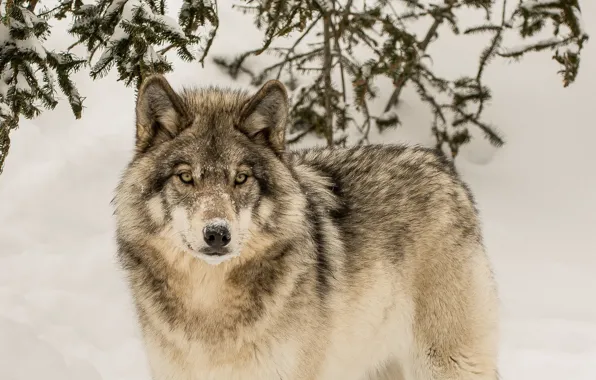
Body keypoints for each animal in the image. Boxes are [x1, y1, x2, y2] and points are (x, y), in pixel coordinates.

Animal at [110, 75, 498, 380]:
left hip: (447, 363)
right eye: (186, 177)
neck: (209, 306)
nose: (217, 234)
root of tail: (443, 167)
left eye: (241, 178)